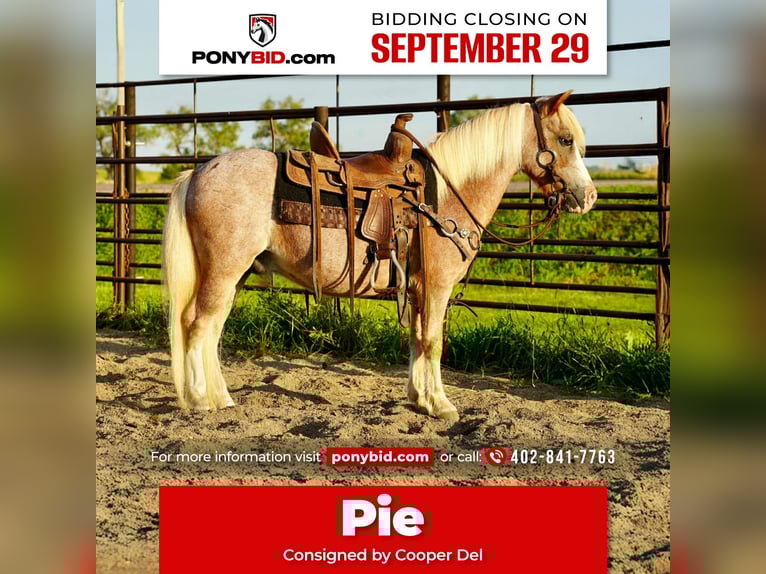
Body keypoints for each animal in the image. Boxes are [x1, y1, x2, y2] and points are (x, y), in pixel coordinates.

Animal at [161, 90, 597, 421]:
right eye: (565, 140)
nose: (589, 197)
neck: (445, 195)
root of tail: (197, 173)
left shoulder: (417, 289)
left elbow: (417, 340)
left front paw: (420, 399)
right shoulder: (436, 288)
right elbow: (433, 342)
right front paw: (441, 405)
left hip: (236, 274)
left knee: (212, 328)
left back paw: (221, 397)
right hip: (223, 271)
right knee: (197, 325)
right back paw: (200, 401)